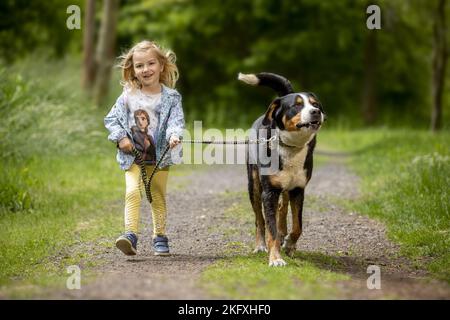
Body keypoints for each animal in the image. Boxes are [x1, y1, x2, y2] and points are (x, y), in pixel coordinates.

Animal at [239, 72, 324, 268]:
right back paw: (260, 245)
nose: (316, 112)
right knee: (259, 219)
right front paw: (275, 258)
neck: (290, 147)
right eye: (297, 105)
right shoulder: (269, 192)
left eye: (315, 104)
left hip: (285, 189)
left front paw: (290, 244)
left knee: (282, 209)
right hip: (254, 186)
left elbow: (298, 226)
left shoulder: (298, 190)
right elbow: (270, 229)